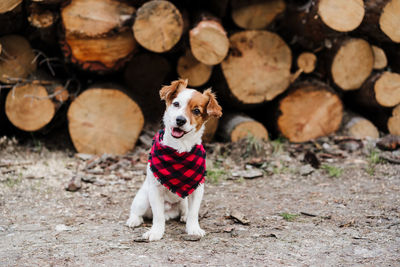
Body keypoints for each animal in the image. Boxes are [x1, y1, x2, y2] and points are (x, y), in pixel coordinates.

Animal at [127, 78, 223, 242]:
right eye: (176, 104)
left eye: (196, 111)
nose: (180, 120)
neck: (179, 149)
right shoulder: (155, 190)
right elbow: (158, 216)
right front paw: (156, 232)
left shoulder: (198, 189)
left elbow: (193, 213)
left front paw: (193, 229)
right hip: (143, 198)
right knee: (137, 211)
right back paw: (134, 220)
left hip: (183, 201)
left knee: (185, 210)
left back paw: (183, 217)